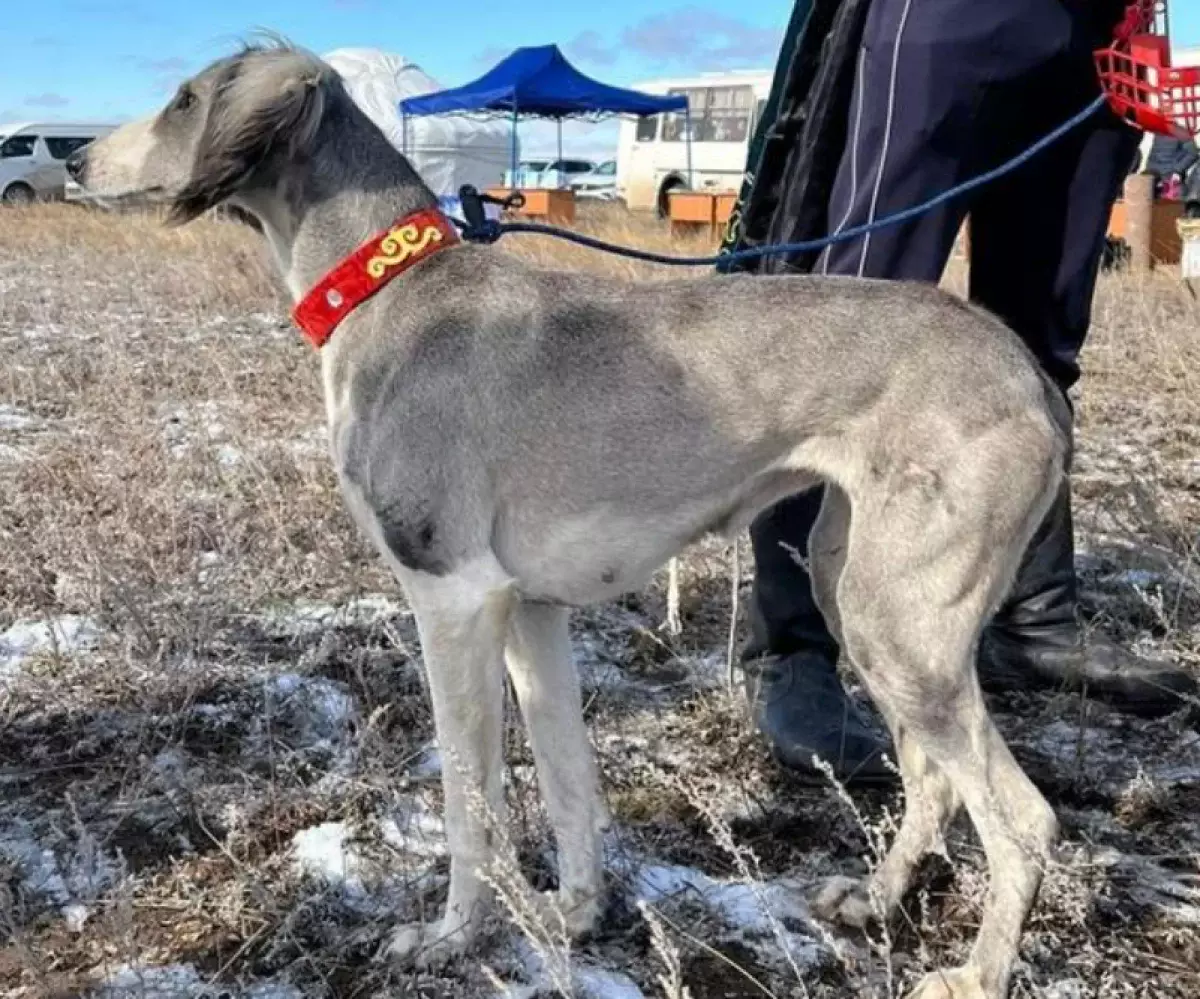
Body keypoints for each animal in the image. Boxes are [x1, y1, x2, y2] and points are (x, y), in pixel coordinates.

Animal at [70, 40, 1075, 999]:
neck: (397, 294)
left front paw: (453, 936)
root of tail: (1030, 376)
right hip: (857, 593)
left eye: (185, 99)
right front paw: (577, 912)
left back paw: (976, 975)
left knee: (1023, 816)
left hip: (899, 624)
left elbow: (471, 801)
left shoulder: (453, 598)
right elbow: (565, 780)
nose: (76, 159)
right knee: (935, 779)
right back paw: (873, 898)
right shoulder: (530, 611)